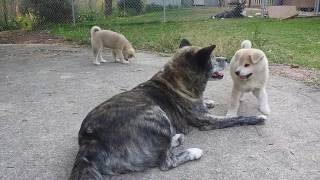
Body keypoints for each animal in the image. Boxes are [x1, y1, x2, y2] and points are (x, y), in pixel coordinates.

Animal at [69, 39, 264, 179]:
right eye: (213, 57)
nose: (228, 59)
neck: (176, 79)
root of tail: (89, 140)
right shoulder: (206, 121)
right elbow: (235, 118)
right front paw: (256, 118)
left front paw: (207, 101)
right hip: (156, 112)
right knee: (165, 162)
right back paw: (192, 151)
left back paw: (176, 137)